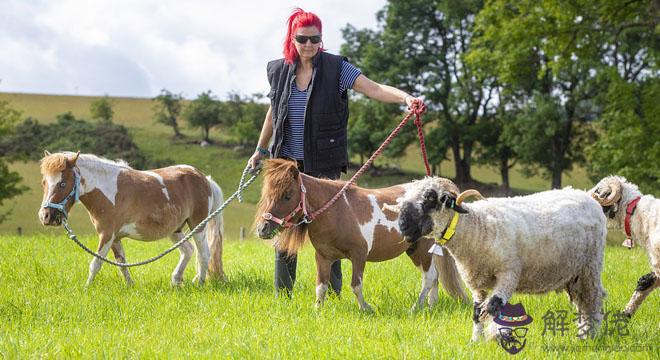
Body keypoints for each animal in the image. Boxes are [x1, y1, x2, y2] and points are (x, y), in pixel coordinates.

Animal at [39, 152, 224, 286]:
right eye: (44, 182)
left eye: (62, 183)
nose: (46, 216)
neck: (107, 191)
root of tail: (204, 179)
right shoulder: (115, 238)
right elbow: (121, 263)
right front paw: (130, 285)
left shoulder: (107, 235)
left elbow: (95, 264)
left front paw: (86, 288)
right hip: (175, 230)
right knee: (188, 250)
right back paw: (176, 280)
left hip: (198, 225)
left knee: (204, 254)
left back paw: (199, 283)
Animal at [255, 159, 466, 310]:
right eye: (267, 195)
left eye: (288, 196)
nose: (263, 229)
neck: (339, 211)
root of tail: (442, 186)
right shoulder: (323, 257)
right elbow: (321, 286)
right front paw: (317, 310)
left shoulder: (359, 255)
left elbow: (355, 285)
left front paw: (366, 308)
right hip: (415, 249)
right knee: (434, 278)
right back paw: (430, 307)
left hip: (422, 249)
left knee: (429, 277)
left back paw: (417, 307)